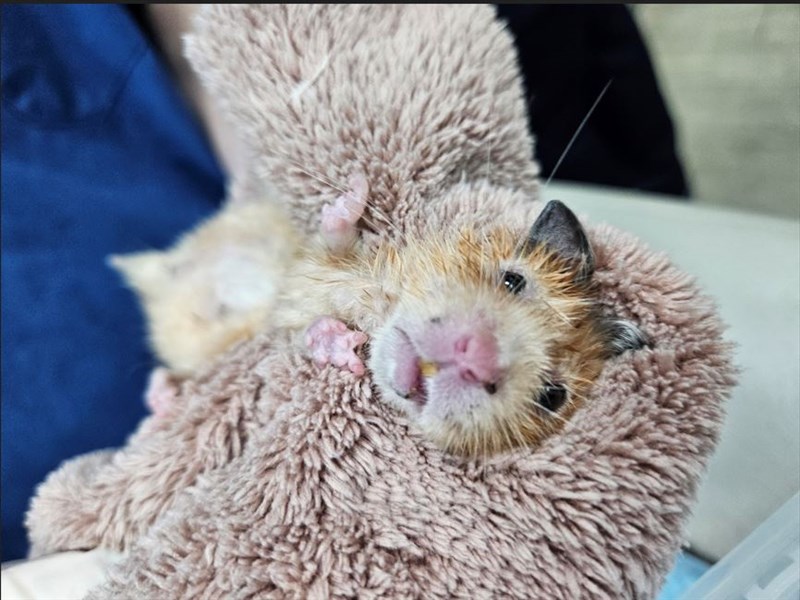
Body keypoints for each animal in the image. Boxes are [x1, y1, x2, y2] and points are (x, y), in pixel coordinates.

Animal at [113, 177, 646, 455]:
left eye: (552, 397)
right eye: (513, 280)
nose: (473, 358)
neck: (378, 309)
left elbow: (308, 332)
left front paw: (345, 346)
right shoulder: (319, 263)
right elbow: (335, 236)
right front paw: (353, 192)